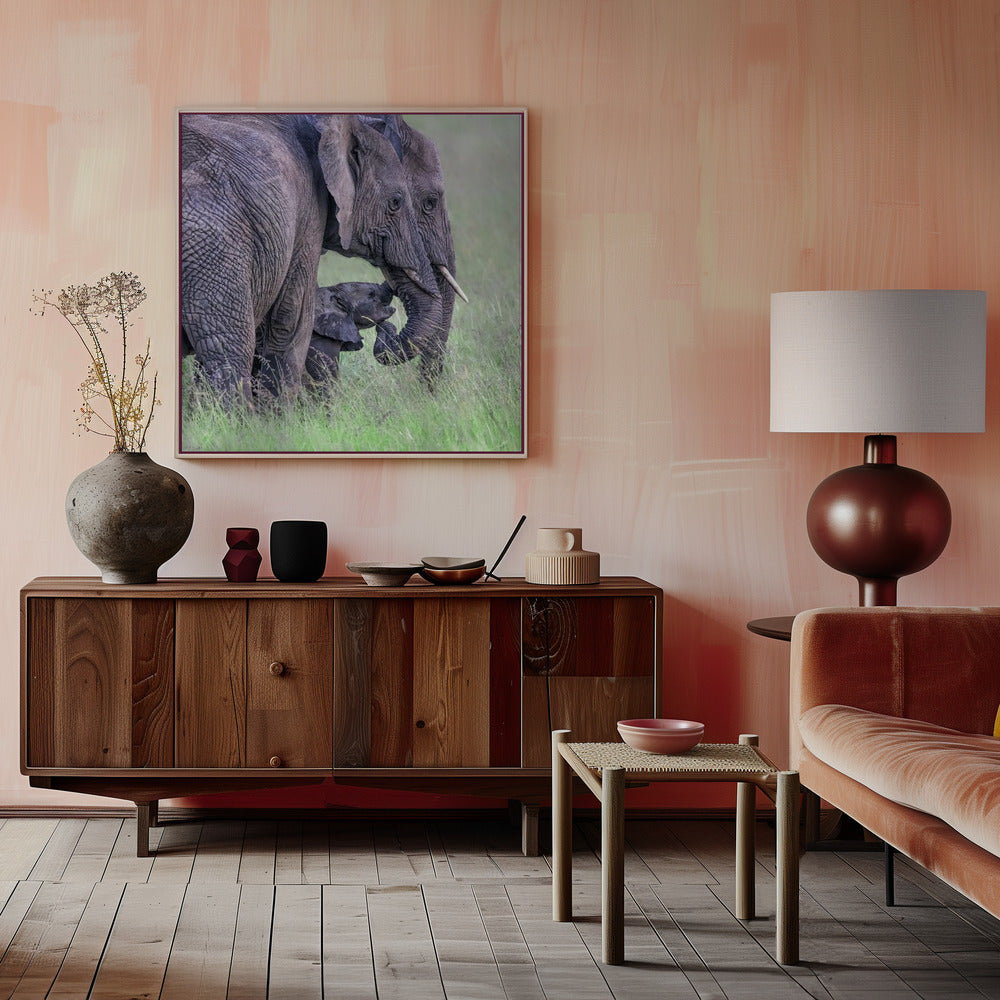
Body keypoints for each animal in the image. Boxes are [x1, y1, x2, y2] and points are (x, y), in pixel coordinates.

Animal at [180, 113, 441, 400]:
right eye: (395, 202)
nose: (387, 329)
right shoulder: (308, 214)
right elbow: (289, 321)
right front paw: (277, 415)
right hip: (215, 245)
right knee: (228, 350)